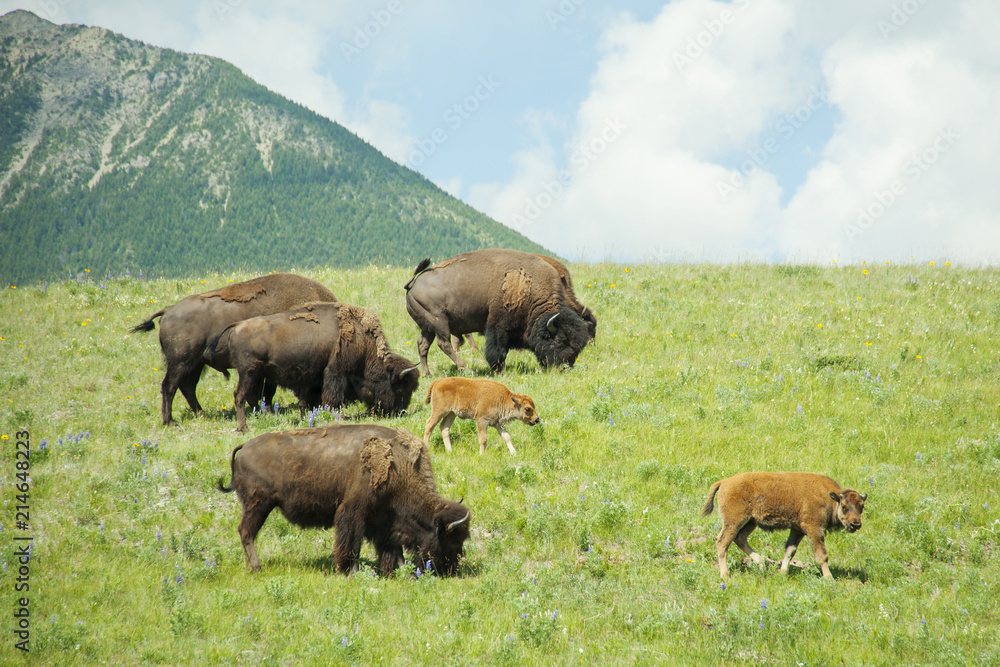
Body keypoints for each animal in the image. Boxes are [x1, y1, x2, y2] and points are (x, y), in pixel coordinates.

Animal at [129, 272, 338, 426]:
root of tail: (169, 310)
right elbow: (266, 392)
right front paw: (267, 412)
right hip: (180, 362)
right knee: (169, 386)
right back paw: (170, 421)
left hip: (196, 364)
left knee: (187, 387)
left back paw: (201, 414)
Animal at [205, 300, 420, 430]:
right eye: (400, 389)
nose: (399, 411)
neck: (362, 342)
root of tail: (237, 326)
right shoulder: (336, 373)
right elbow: (333, 398)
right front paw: (339, 418)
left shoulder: (314, 379)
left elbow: (309, 401)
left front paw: (307, 418)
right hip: (248, 372)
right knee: (239, 396)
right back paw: (244, 427)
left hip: (256, 374)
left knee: (251, 398)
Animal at [217, 422, 470, 576]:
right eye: (450, 540)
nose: (450, 570)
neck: (399, 467)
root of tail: (244, 447)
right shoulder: (354, 512)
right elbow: (351, 542)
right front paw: (350, 570)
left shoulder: (385, 521)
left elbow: (391, 548)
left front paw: (398, 571)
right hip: (258, 505)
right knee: (246, 532)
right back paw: (256, 567)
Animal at [404, 249, 592, 376]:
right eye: (560, 340)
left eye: (579, 346)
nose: (565, 367)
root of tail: (413, 284)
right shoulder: (499, 327)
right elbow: (498, 351)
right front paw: (499, 371)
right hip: (439, 322)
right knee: (444, 344)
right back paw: (467, 369)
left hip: (427, 327)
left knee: (423, 345)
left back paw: (427, 373)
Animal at [704, 472, 868, 580]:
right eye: (844, 507)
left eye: (861, 506)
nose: (856, 524)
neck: (830, 498)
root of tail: (724, 482)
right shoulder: (814, 529)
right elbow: (822, 554)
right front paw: (829, 577)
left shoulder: (797, 530)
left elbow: (790, 550)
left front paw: (782, 572)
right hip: (734, 521)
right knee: (723, 542)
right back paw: (725, 575)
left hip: (751, 521)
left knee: (740, 539)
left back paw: (762, 563)